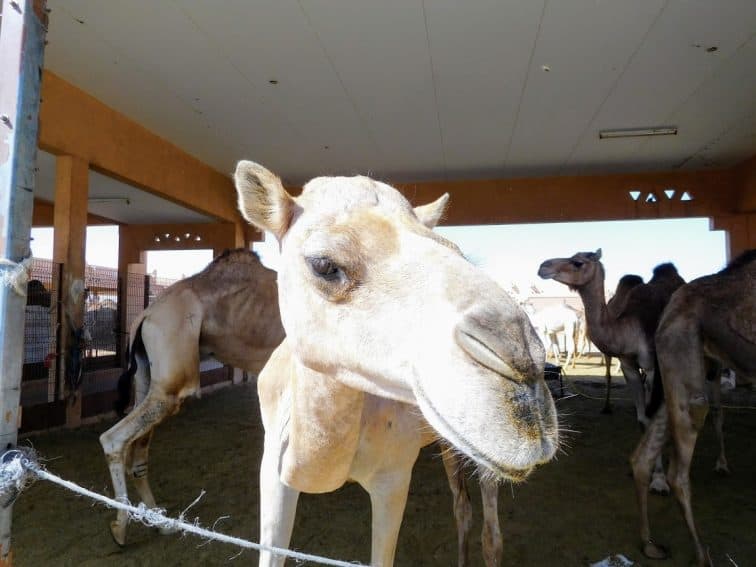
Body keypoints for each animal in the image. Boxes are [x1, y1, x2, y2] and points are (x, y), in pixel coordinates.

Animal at [233, 161, 560, 567]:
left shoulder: (393, 478)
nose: (524, 365)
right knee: (462, 507)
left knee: (490, 532)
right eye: (324, 265)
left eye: (453, 251)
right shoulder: (273, 474)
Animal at [536, 248, 684, 492]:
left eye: (578, 262)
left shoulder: (653, 367)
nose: (543, 266)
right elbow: (642, 419)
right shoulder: (629, 367)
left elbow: (654, 419)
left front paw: (659, 480)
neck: (629, 328)